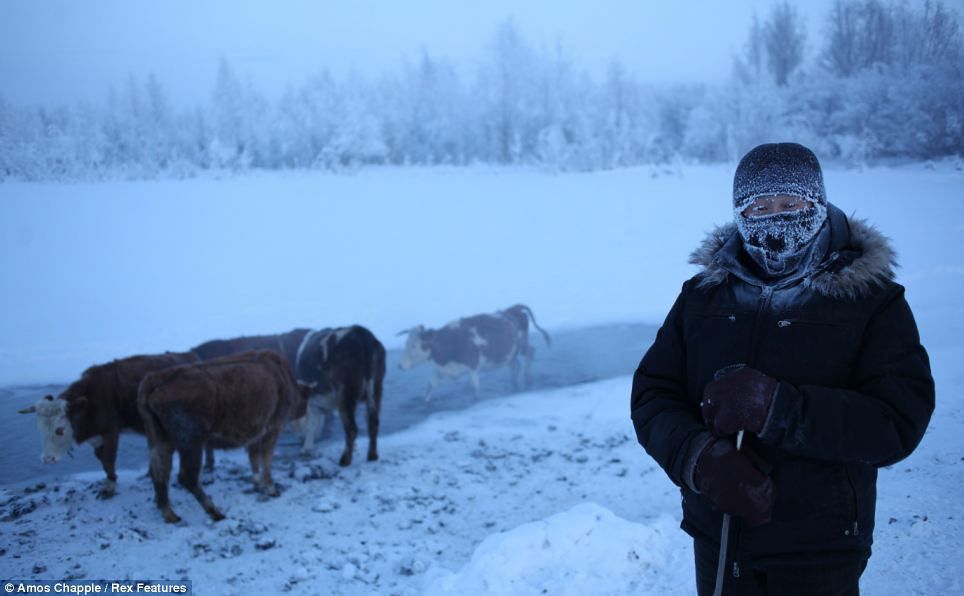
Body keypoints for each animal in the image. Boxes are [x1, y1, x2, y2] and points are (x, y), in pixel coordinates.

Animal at [18, 350, 201, 498]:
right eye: (40, 429)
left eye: (60, 430)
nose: (47, 459)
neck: (91, 402)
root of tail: (190, 356)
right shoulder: (96, 437)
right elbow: (102, 460)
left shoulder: (110, 433)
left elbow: (109, 459)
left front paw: (109, 487)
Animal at [136, 350, 306, 520]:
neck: (282, 376)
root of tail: (155, 379)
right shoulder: (272, 430)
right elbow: (266, 461)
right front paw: (272, 489)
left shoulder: (256, 436)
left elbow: (254, 459)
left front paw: (257, 483)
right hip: (191, 444)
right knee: (187, 477)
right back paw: (215, 512)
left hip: (160, 441)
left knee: (159, 471)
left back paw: (170, 514)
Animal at [296, 326, 386, 466]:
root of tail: (361, 333)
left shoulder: (312, 402)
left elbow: (310, 425)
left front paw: (306, 449)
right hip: (376, 388)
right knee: (373, 423)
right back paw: (372, 456)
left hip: (345, 393)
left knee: (352, 428)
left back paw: (344, 460)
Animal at [398, 302, 548, 400]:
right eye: (406, 343)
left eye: (415, 346)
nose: (400, 365)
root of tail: (513, 308)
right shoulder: (441, 370)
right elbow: (430, 387)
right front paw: (425, 402)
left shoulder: (473, 367)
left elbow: (475, 389)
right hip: (510, 353)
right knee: (516, 364)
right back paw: (515, 384)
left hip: (521, 344)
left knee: (531, 352)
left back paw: (527, 377)